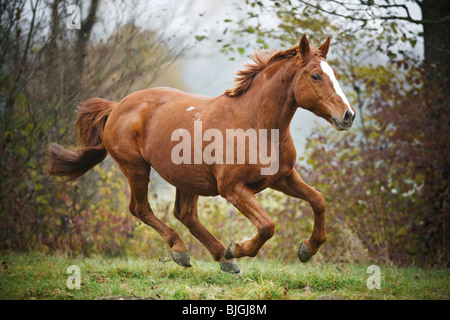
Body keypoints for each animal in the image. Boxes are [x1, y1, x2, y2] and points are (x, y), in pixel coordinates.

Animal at [45, 36, 356, 274]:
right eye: (315, 75)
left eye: (333, 75)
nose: (348, 115)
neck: (255, 125)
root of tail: (118, 106)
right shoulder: (233, 188)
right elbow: (268, 226)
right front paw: (237, 248)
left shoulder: (282, 178)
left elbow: (318, 200)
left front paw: (307, 249)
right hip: (136, 168)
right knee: (141, 209)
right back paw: (184, 251)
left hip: (186, 178)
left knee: (184, 214)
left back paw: (221, 258)